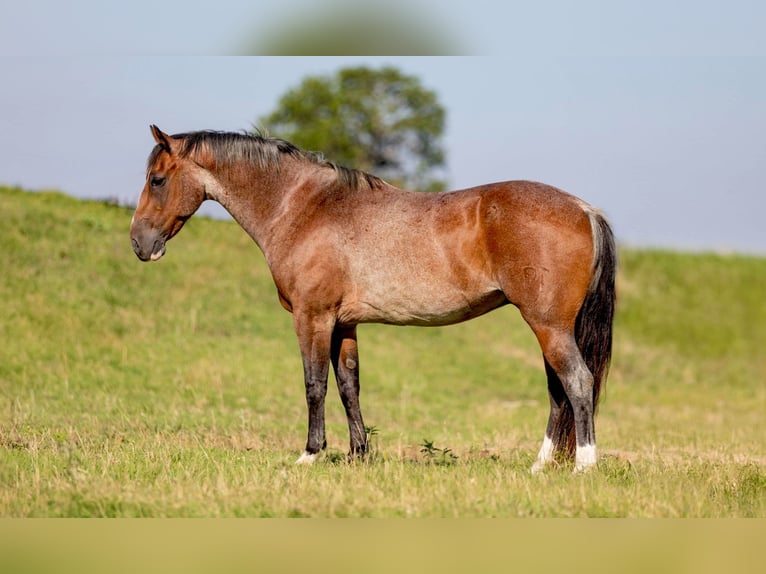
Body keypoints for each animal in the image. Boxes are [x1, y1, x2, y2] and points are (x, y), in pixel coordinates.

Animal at [130, 125, 616, 473]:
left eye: (157, 179)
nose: (139, 243)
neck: (306, 208)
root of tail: (584, 209)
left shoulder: (313, 317)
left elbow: (314, 385)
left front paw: (310, 454)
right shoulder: (344, 323)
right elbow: (349, 386)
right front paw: (357, 454)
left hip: (548, 325)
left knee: (577, 382)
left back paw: (583, 466)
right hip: (550, 327)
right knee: (558, 391)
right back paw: (539, 466)